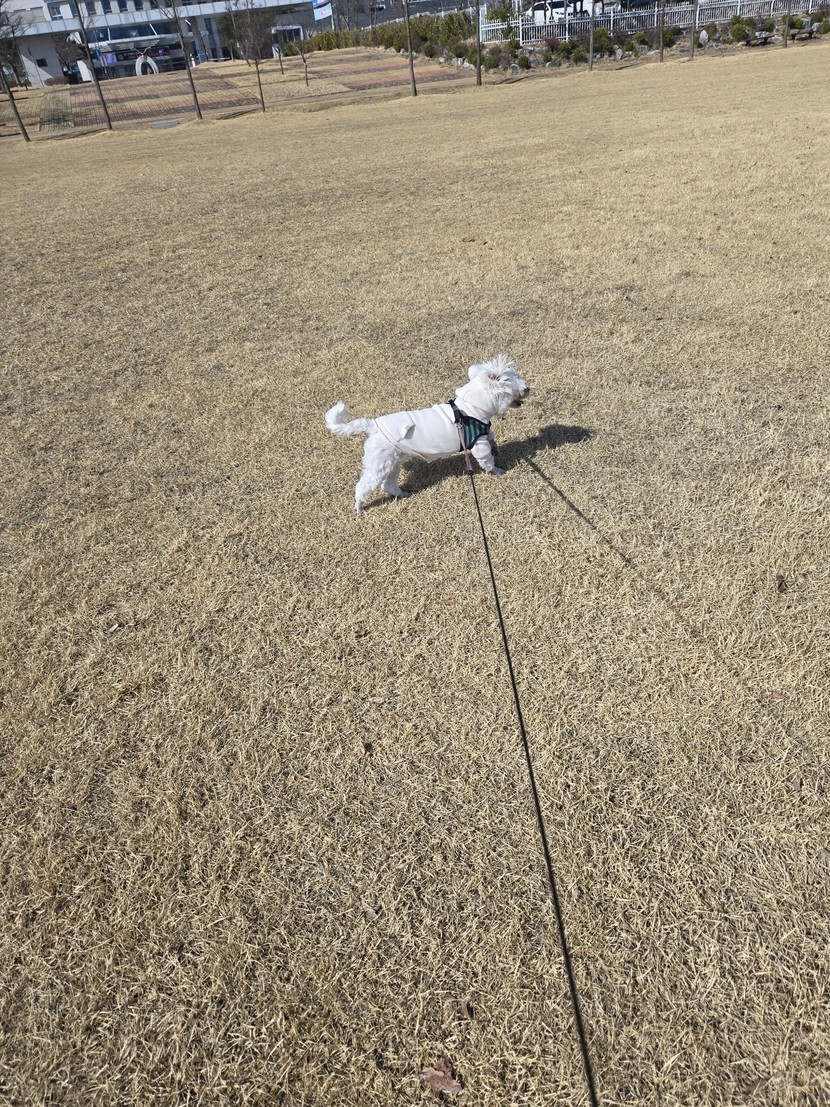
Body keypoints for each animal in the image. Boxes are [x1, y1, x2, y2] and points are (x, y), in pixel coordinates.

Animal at [325, 354, 530, 513]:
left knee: (388, 484)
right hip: (379, 464)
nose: (528, 389)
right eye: (516, 383)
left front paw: (497, 448)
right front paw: (498, 471)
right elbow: (487, 460)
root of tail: (372, 425)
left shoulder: (484, 434)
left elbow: (491, 437)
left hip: (392, 462)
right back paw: (359, 508)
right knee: (363, 486)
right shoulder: (478, 443)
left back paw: (402, 493)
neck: (471, 407)